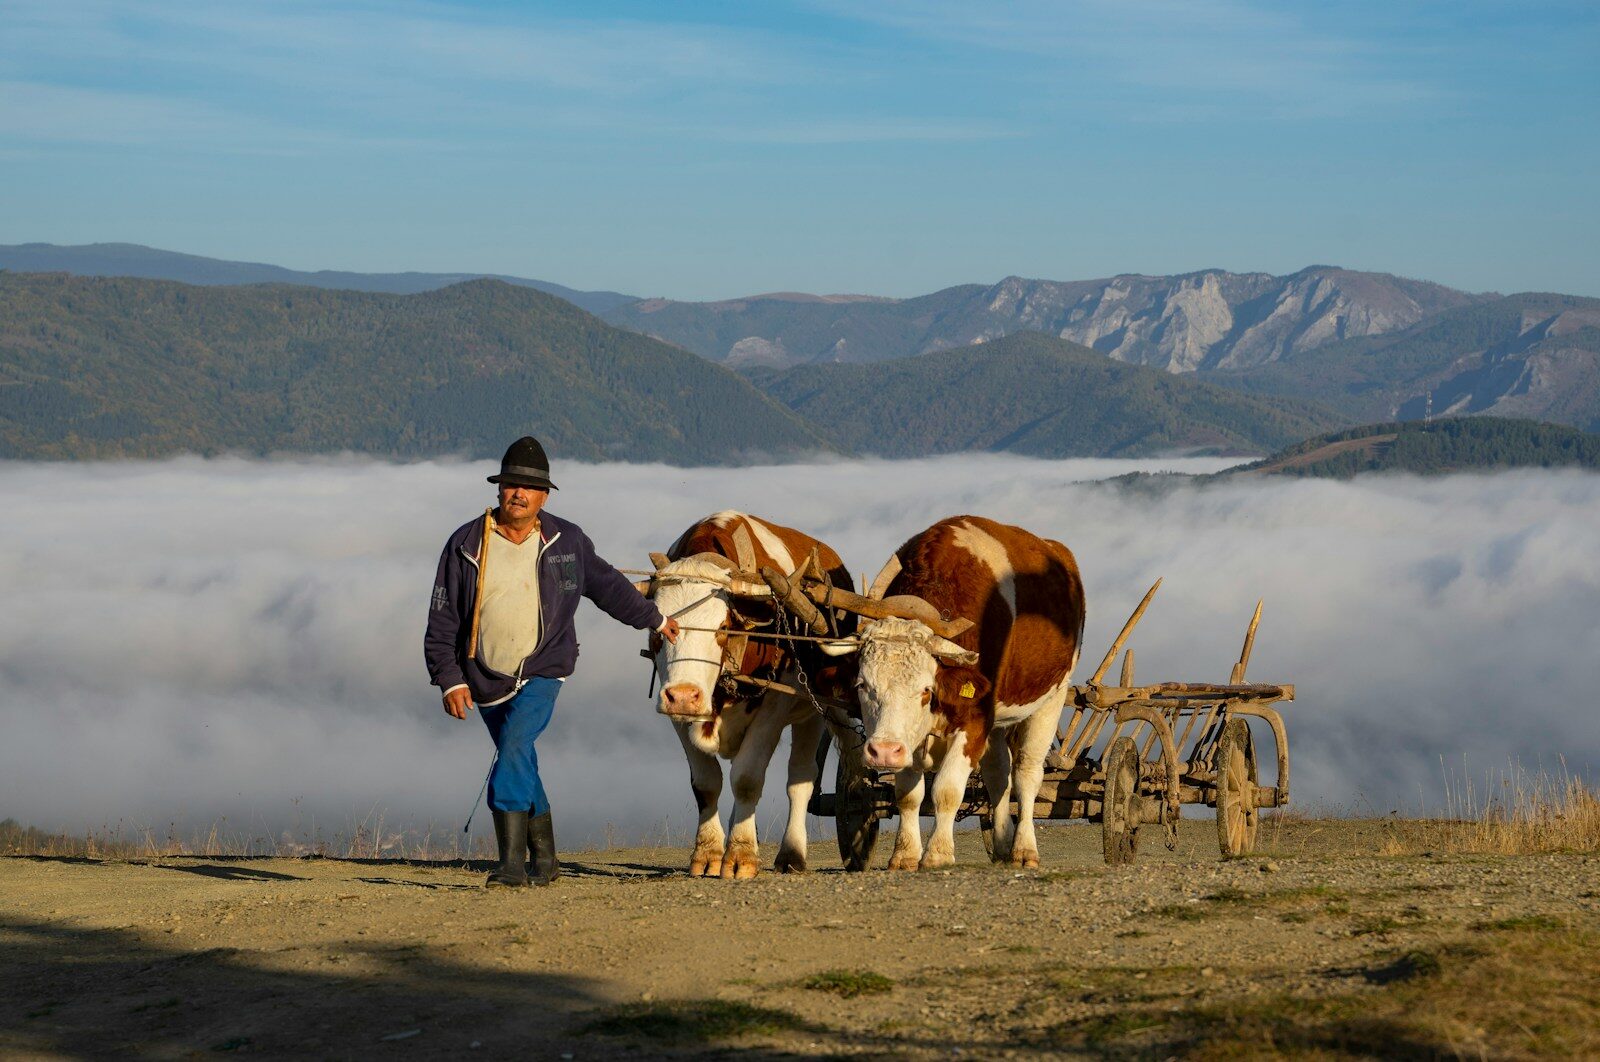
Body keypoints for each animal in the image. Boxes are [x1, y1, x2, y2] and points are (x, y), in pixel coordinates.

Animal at [649, 511, 857, 878]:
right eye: (660, 629)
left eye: (721, 627)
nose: (685, 695)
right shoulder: (677, 715)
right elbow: (706, 783)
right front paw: (709, 853)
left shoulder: (773, 709)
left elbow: (747, 778)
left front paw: (741, 856)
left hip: (818, 709)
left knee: (804, 778)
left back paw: (792, 853)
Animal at [842, 515, 1085, 870]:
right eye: (863, 685)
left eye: (925, 690)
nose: (884, 751)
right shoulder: (916, 736)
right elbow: (908, 795)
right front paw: (905, 854)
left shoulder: (974, 719)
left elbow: (946, 789)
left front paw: (938, 853)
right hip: (997, 720)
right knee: (999, 774)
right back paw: (1001, 844)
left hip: (1051, 697)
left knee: (1026, 774)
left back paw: (1024, 850)